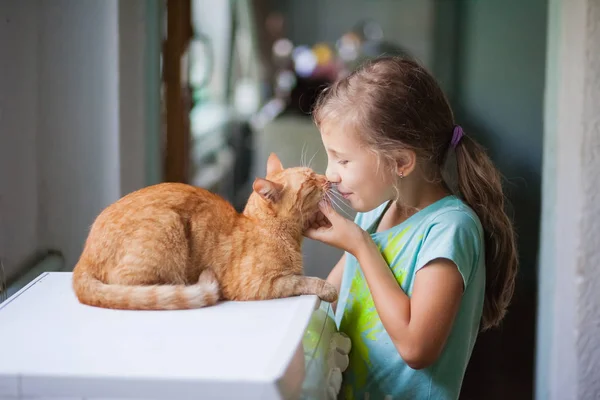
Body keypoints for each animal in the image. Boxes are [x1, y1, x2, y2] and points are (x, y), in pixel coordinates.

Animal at [70, 153, 338, 310]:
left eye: (314, 174)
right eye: (310, 181)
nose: (327, 179)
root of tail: (83, 258)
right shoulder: (261, 285)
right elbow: (303, 280)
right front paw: (328, 289)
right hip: (167, 226)